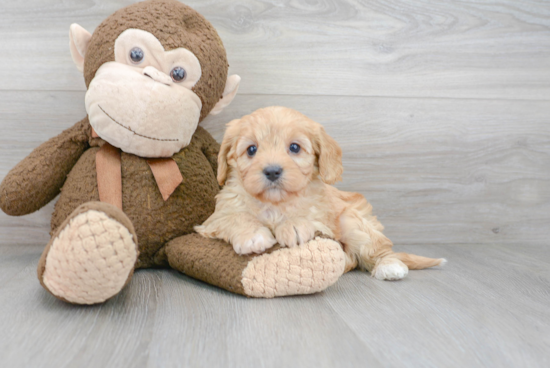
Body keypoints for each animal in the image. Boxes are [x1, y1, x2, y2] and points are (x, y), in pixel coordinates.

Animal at [196, 105, 446, 278]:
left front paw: (294, 225)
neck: (276, 203)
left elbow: (308, 218)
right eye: (251, 150)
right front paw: (252, 235)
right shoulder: (215, 217)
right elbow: (234, 217)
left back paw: (390, 266)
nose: (272, 171)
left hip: (353, 221)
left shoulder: (324, 220)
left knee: (376, 250)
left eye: (294, 147)